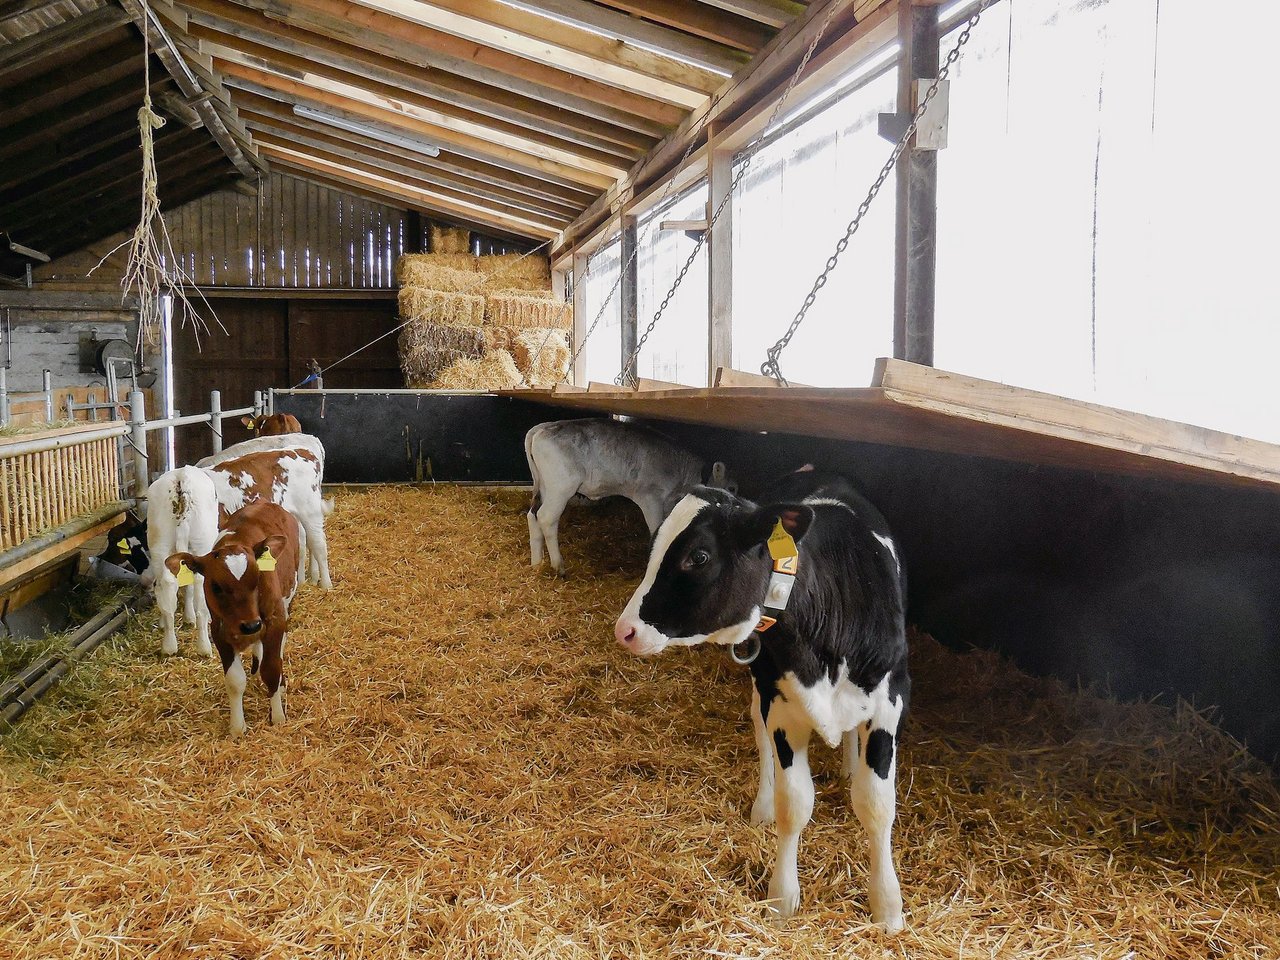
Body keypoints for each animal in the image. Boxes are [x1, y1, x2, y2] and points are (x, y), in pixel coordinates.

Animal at [166, 504, 300, 737]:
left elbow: (272, 668)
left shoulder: (275, 620)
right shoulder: (220, 632)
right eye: (216, 586)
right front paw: (237, 727)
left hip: (287, 601)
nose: (251, 625)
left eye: (258, 577)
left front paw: (278, 717)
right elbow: (235, 680)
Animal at [611, 481, 906, 931]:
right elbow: (794, 804)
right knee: (759, 730)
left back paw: (850, 766)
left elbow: (876, 804)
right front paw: (782, 896)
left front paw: (887, 906)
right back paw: (763, 803)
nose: (624, 630)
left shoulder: (889, 703)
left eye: (698, 556)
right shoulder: (781, 707)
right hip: (760, 686)